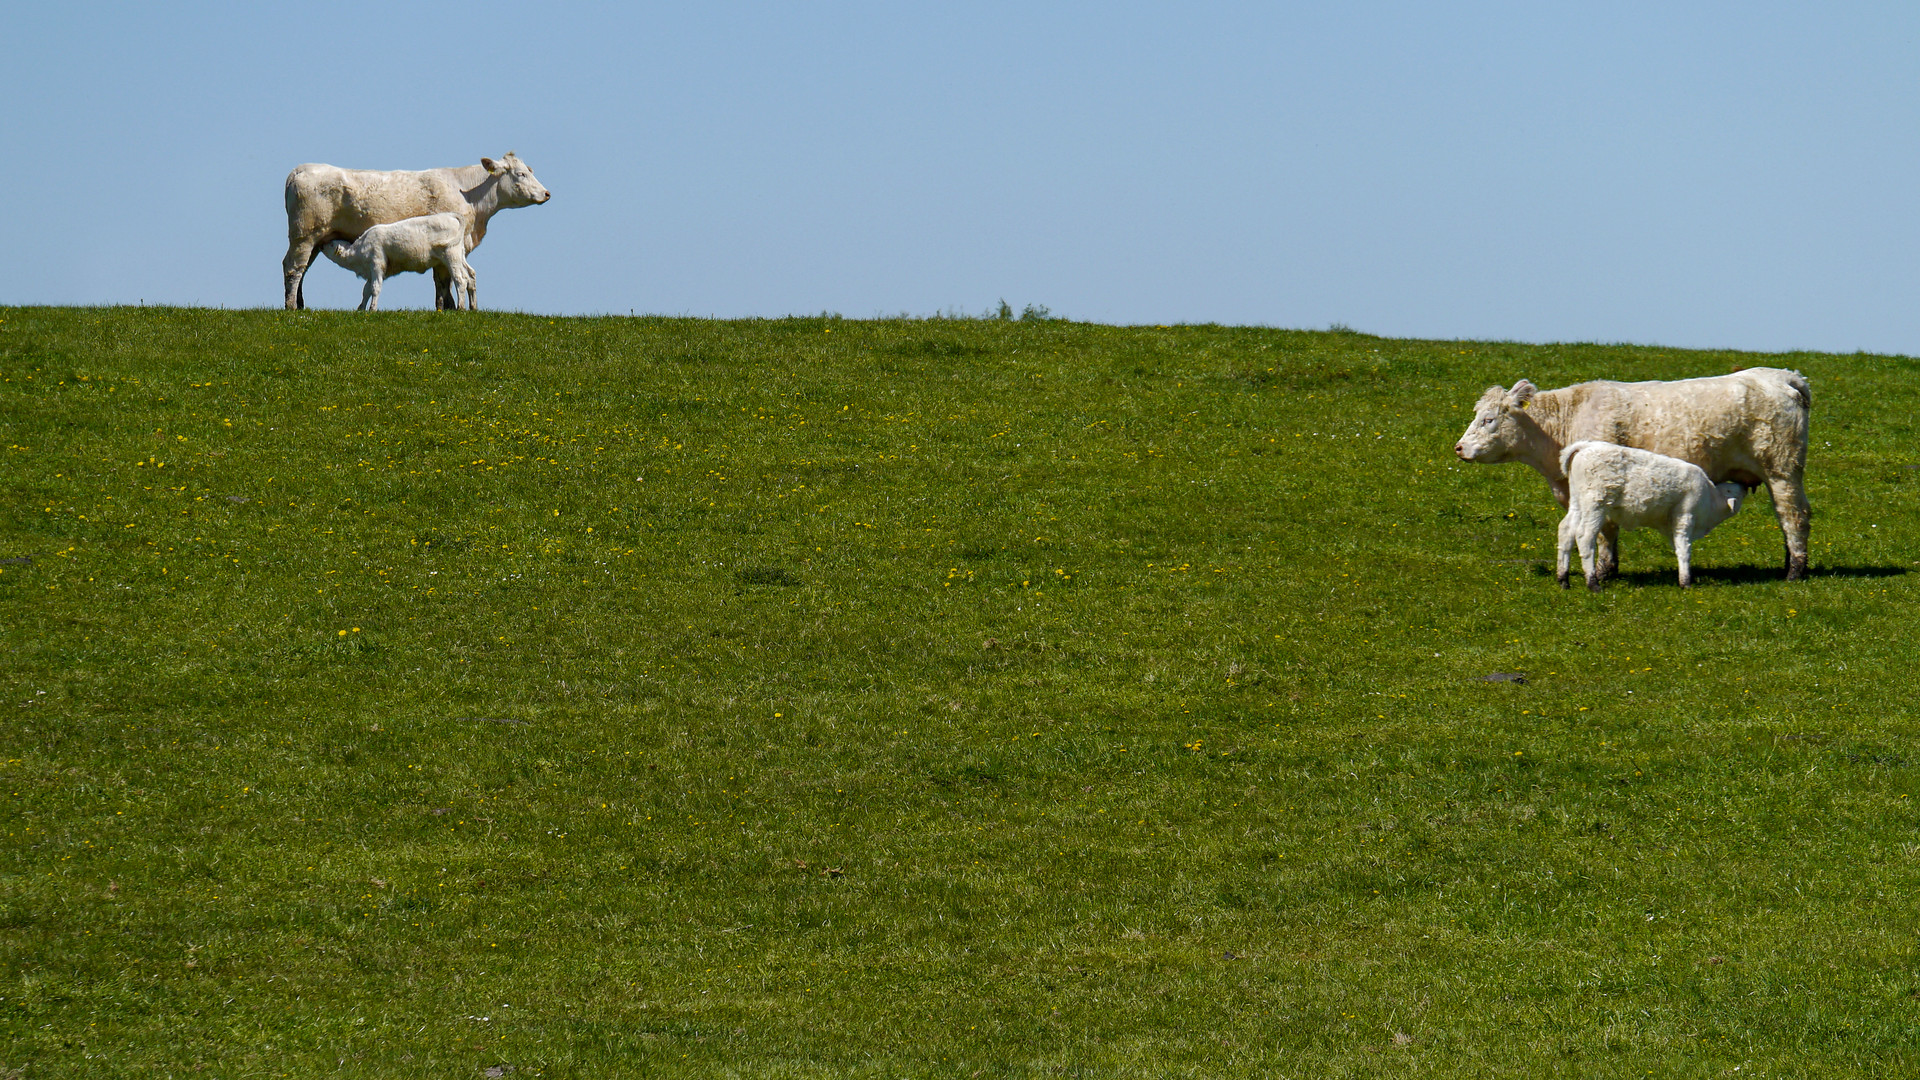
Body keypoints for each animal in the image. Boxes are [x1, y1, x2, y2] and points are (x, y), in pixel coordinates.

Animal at [318, 211, 476, 309]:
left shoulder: (377, 265)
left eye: (331, 244)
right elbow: (366, 290)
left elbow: (375, 288)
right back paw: (473, 307)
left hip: (451, 256)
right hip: (459, 256)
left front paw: (372, 308)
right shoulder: (370, 272)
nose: (322, 245)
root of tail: (450, 215)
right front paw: (361, 308)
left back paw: (461, 307)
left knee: (461, 279)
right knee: (470, 275)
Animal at [1551, 440, 1751, 588]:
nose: (1744, 485)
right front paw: (1685, 582)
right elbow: (1684, 549)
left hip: (1577, 503)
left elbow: (1678, 547)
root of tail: (1585, 446)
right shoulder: (1685, 516)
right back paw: (1592, 583)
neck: (1710, 498)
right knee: (1585, 537)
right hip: (1595, 506)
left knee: (1566, 531)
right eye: (1732, 490)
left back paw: (1564, 580)